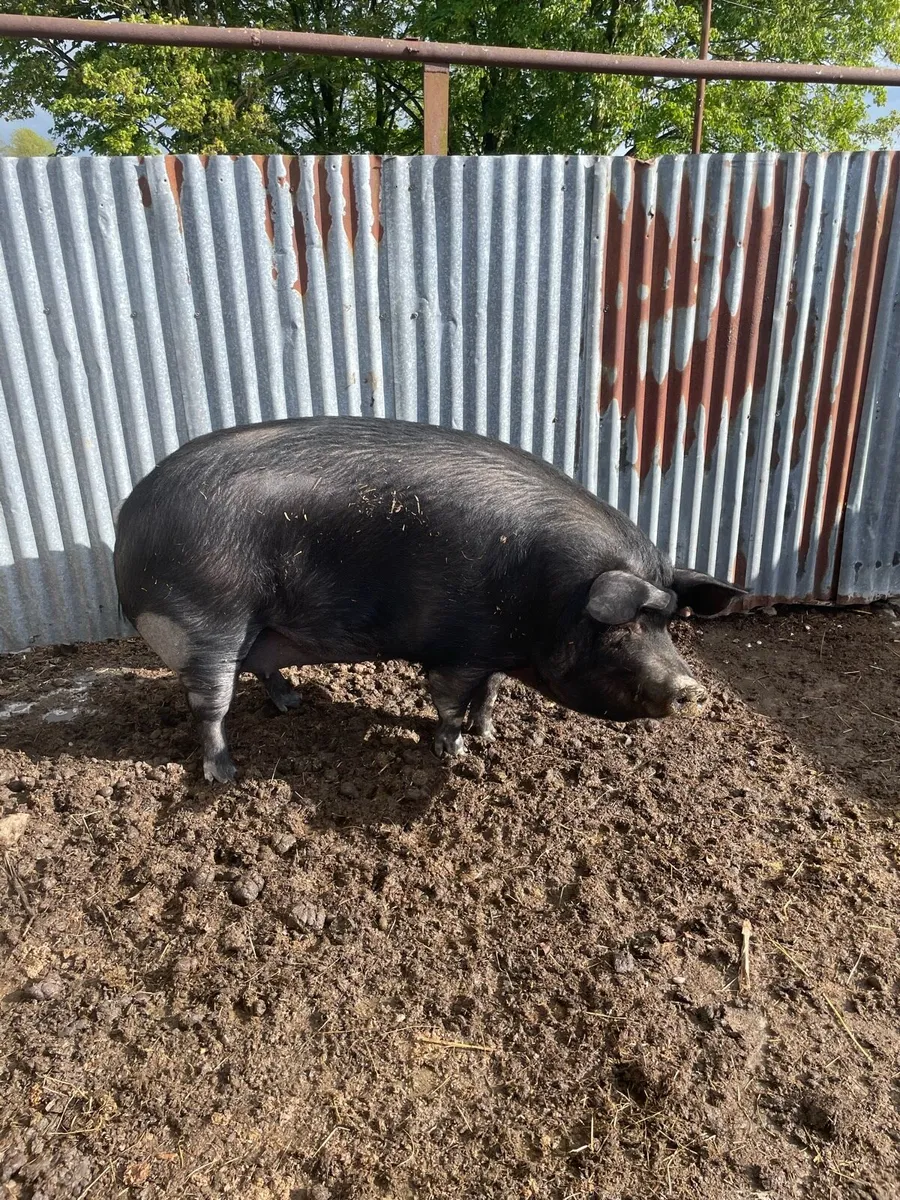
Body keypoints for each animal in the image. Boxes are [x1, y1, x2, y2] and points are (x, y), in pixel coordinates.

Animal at [113, 417, 744, 783]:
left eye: (670, 622)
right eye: (621, 628)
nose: (693, 690)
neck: (546, 600)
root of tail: (126, 522)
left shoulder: (493, 651)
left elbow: (490, 693)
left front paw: (490, 735)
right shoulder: (455, 650)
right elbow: (446, 701)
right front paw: (454, 750)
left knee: (262, 671)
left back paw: (292, 704)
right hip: (203, 622)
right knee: (210, 706)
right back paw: (225, 775)